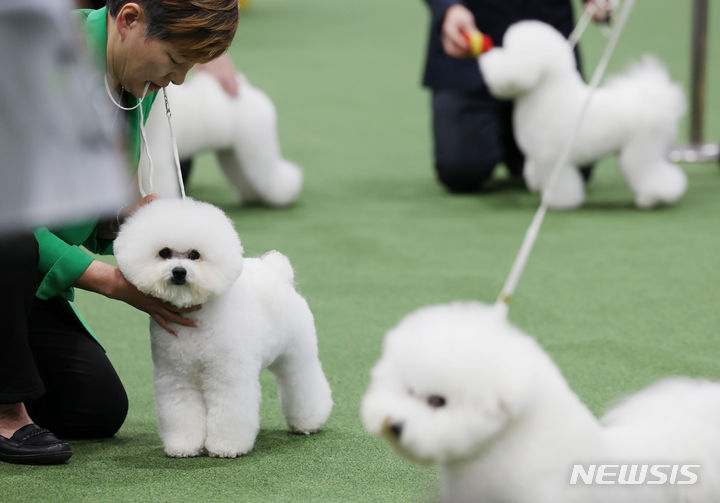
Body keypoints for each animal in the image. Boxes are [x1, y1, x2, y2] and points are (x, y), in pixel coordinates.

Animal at [114, 199, 334, 458]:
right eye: (164, 253)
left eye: (195, 255)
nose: (179, 271)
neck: (196, 320)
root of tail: (280, 275)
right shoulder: (177, 376)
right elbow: (181, 412)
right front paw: (183, 445)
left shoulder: (227, 375)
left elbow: (229, 412)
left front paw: (226, 446)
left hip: (296, 353)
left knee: (302, 382)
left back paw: (308, 422)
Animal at [142, 71, 302, 207]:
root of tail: (247, 90)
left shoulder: (157, 159)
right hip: (232, 154)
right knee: (244, 177)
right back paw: (253, 197)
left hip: (258, 147)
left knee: (273, 175)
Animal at [478, 21, 688, 211]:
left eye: (507, 50)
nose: (487, 58)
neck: (547, 94)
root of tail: (656, 101)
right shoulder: (539, 157)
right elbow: (535, 171)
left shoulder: (553, 160)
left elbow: (560, 185)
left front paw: (558, 203)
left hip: (641, 150)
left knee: (654, 175)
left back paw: (653, 199)